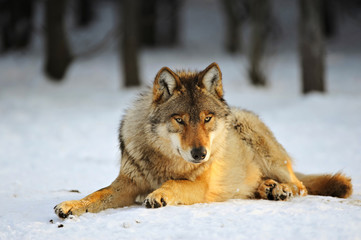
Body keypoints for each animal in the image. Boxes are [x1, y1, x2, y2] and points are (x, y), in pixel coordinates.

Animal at [54, 62, 352, 218]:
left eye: (207, 118)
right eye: (180, 120)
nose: (200, 154)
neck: (165, 162)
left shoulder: (202, 184)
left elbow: (174, 184)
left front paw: (159, 194)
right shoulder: (127, 183)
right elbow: (97, 194)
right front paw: (71, 205)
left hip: (261, 144)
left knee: (300, 186)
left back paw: (279, 189)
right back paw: (267, 188)